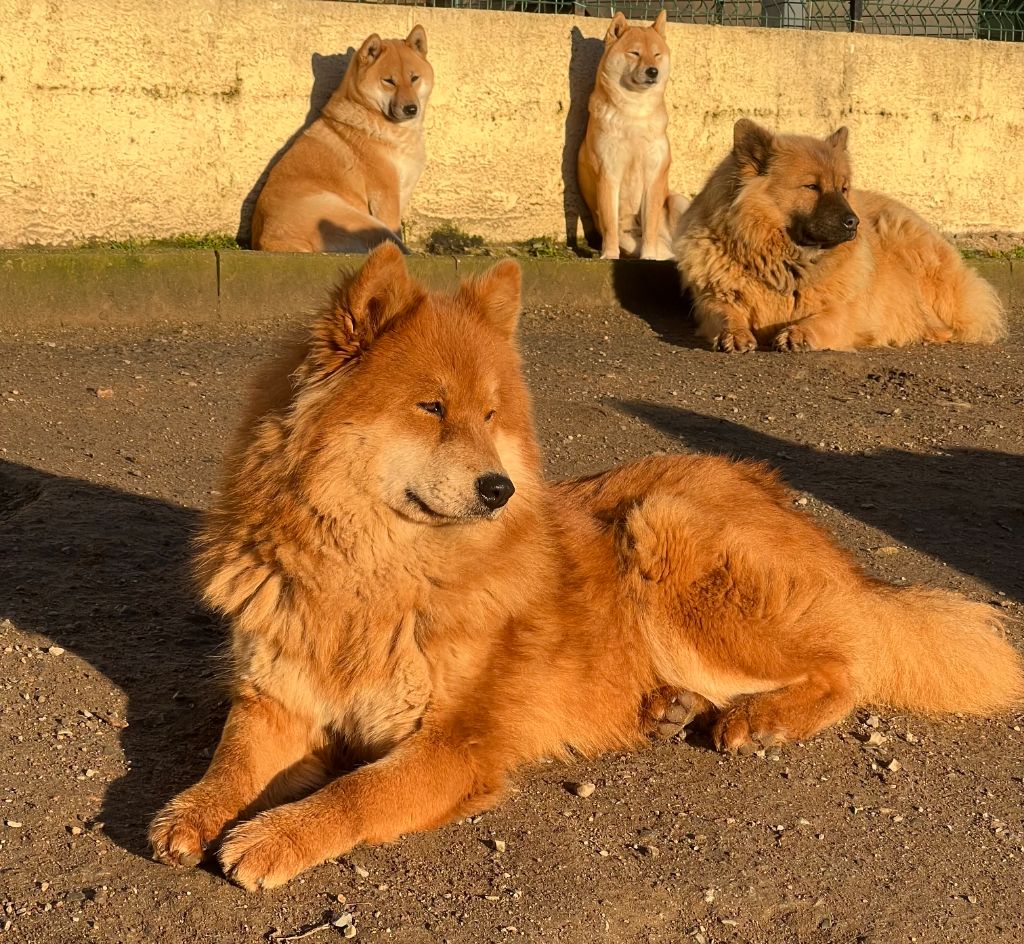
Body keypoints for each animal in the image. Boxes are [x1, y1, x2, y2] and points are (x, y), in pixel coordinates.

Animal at [256, 27, 436, 251]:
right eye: (389, 81)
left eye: (414, 78)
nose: (411, 108)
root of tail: (269, 241)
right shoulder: (385, 196)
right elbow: (396, 229)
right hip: (360, 220)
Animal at [577, 11, 688, 261]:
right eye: (634, 53)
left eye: (656, 54)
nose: (653, 71)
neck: (635, 114)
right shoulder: (608, 174)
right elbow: (610, 223)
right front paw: (609, 254)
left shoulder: (654, 176)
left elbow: (650, 224)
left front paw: (648, 256)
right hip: (627, 235)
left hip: (678, 201)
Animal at [675, 119, 1003, 352]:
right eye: (811, 187)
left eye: (843, 188)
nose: (853, 222)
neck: (787, 264)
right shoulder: (712, 300)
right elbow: (726, 314)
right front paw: (733, 333)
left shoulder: (844, 310)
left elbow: (822, 319)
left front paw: (798, 333)